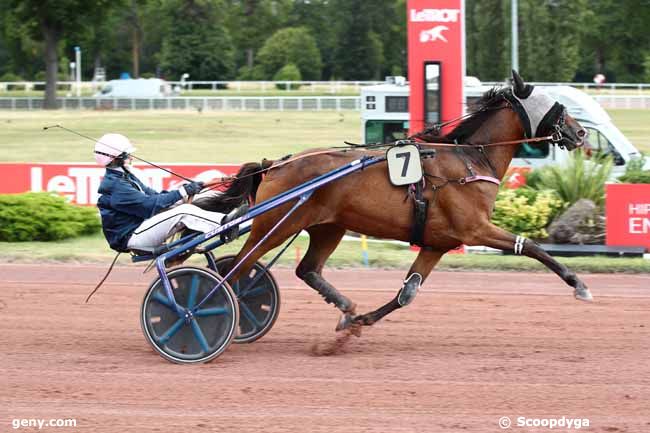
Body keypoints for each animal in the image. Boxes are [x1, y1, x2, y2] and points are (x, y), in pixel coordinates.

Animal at [196, 71, 588, 332]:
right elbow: (531, 246)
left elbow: (407, 293)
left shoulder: (437, 243)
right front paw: (579, 285)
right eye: (558, 107)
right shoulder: (475, 229)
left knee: (305, 269)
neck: (470, 160)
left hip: (328, 227)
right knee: (238, 268)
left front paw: (361, 320)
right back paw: (208, 309)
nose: (581, 132)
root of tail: (276, 163)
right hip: (276, 224)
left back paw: (345, 308)